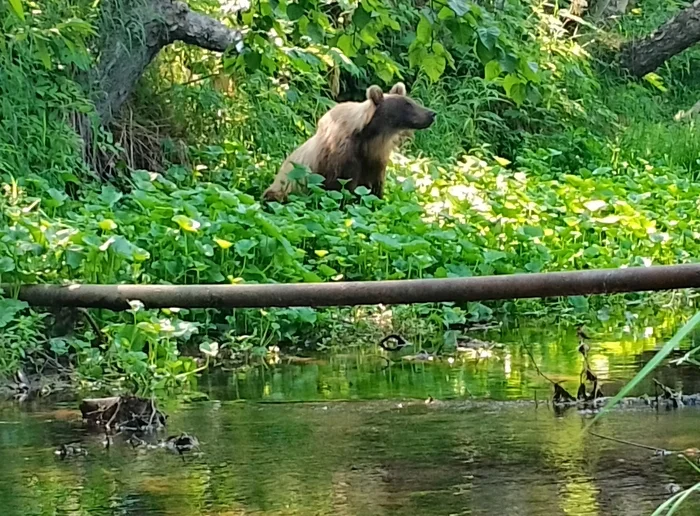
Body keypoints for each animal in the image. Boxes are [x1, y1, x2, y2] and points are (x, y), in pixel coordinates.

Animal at [262, 81, 434, 203]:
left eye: (411, 101)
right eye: (408, 105)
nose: (432, 113)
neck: (370, 137)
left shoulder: (375, 159)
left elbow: (373, 189)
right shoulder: (341, 157)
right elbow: (340, 189)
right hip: (286, 186)